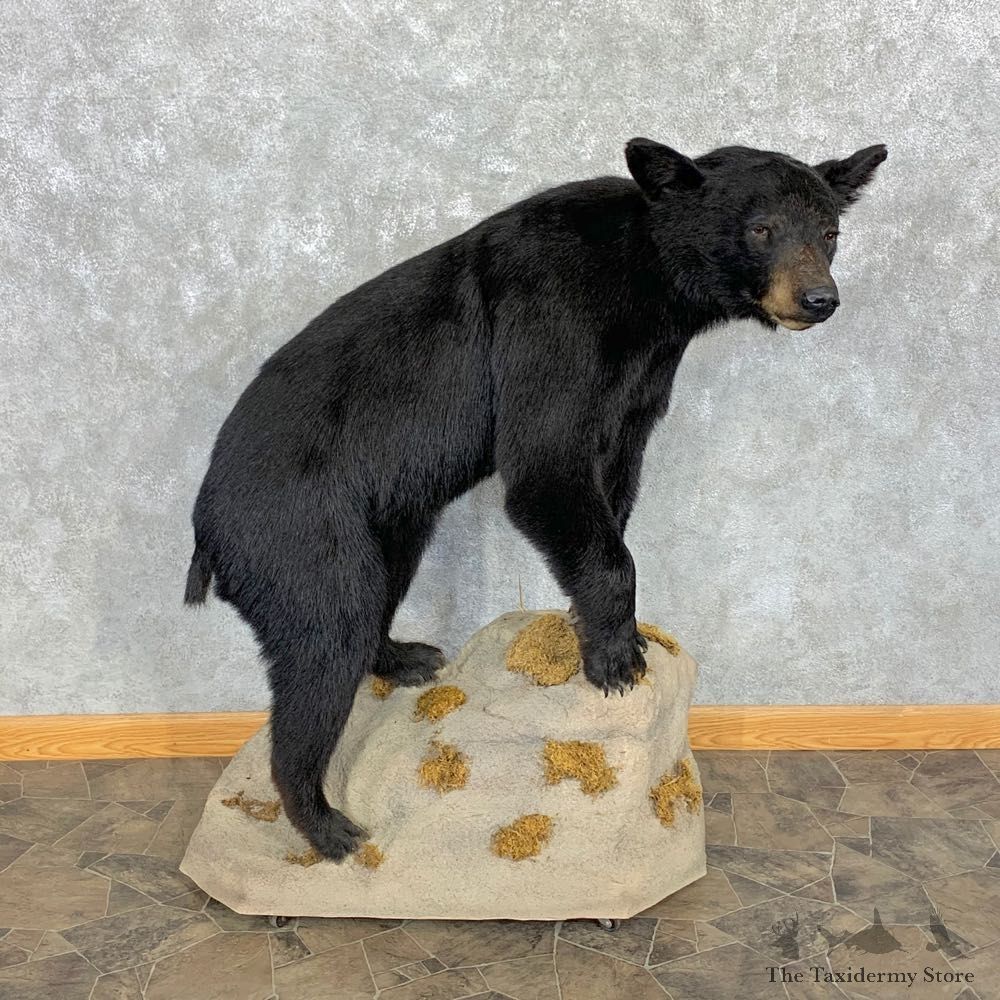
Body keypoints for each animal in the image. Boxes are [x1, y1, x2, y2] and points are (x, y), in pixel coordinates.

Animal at [185, 138, 887, 860]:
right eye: (762, 229)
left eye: (830, 233)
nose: (819, 298)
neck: (649, 286)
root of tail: (206, 531)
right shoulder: (554, 320)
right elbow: (546, 468)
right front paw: (616, 661)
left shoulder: (640, 383)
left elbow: (614, 483)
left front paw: (598, 627)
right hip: (297, 533)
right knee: (323, 640)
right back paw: (328, 826)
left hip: (388, 520)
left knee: (373, 596)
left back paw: (406, 656)